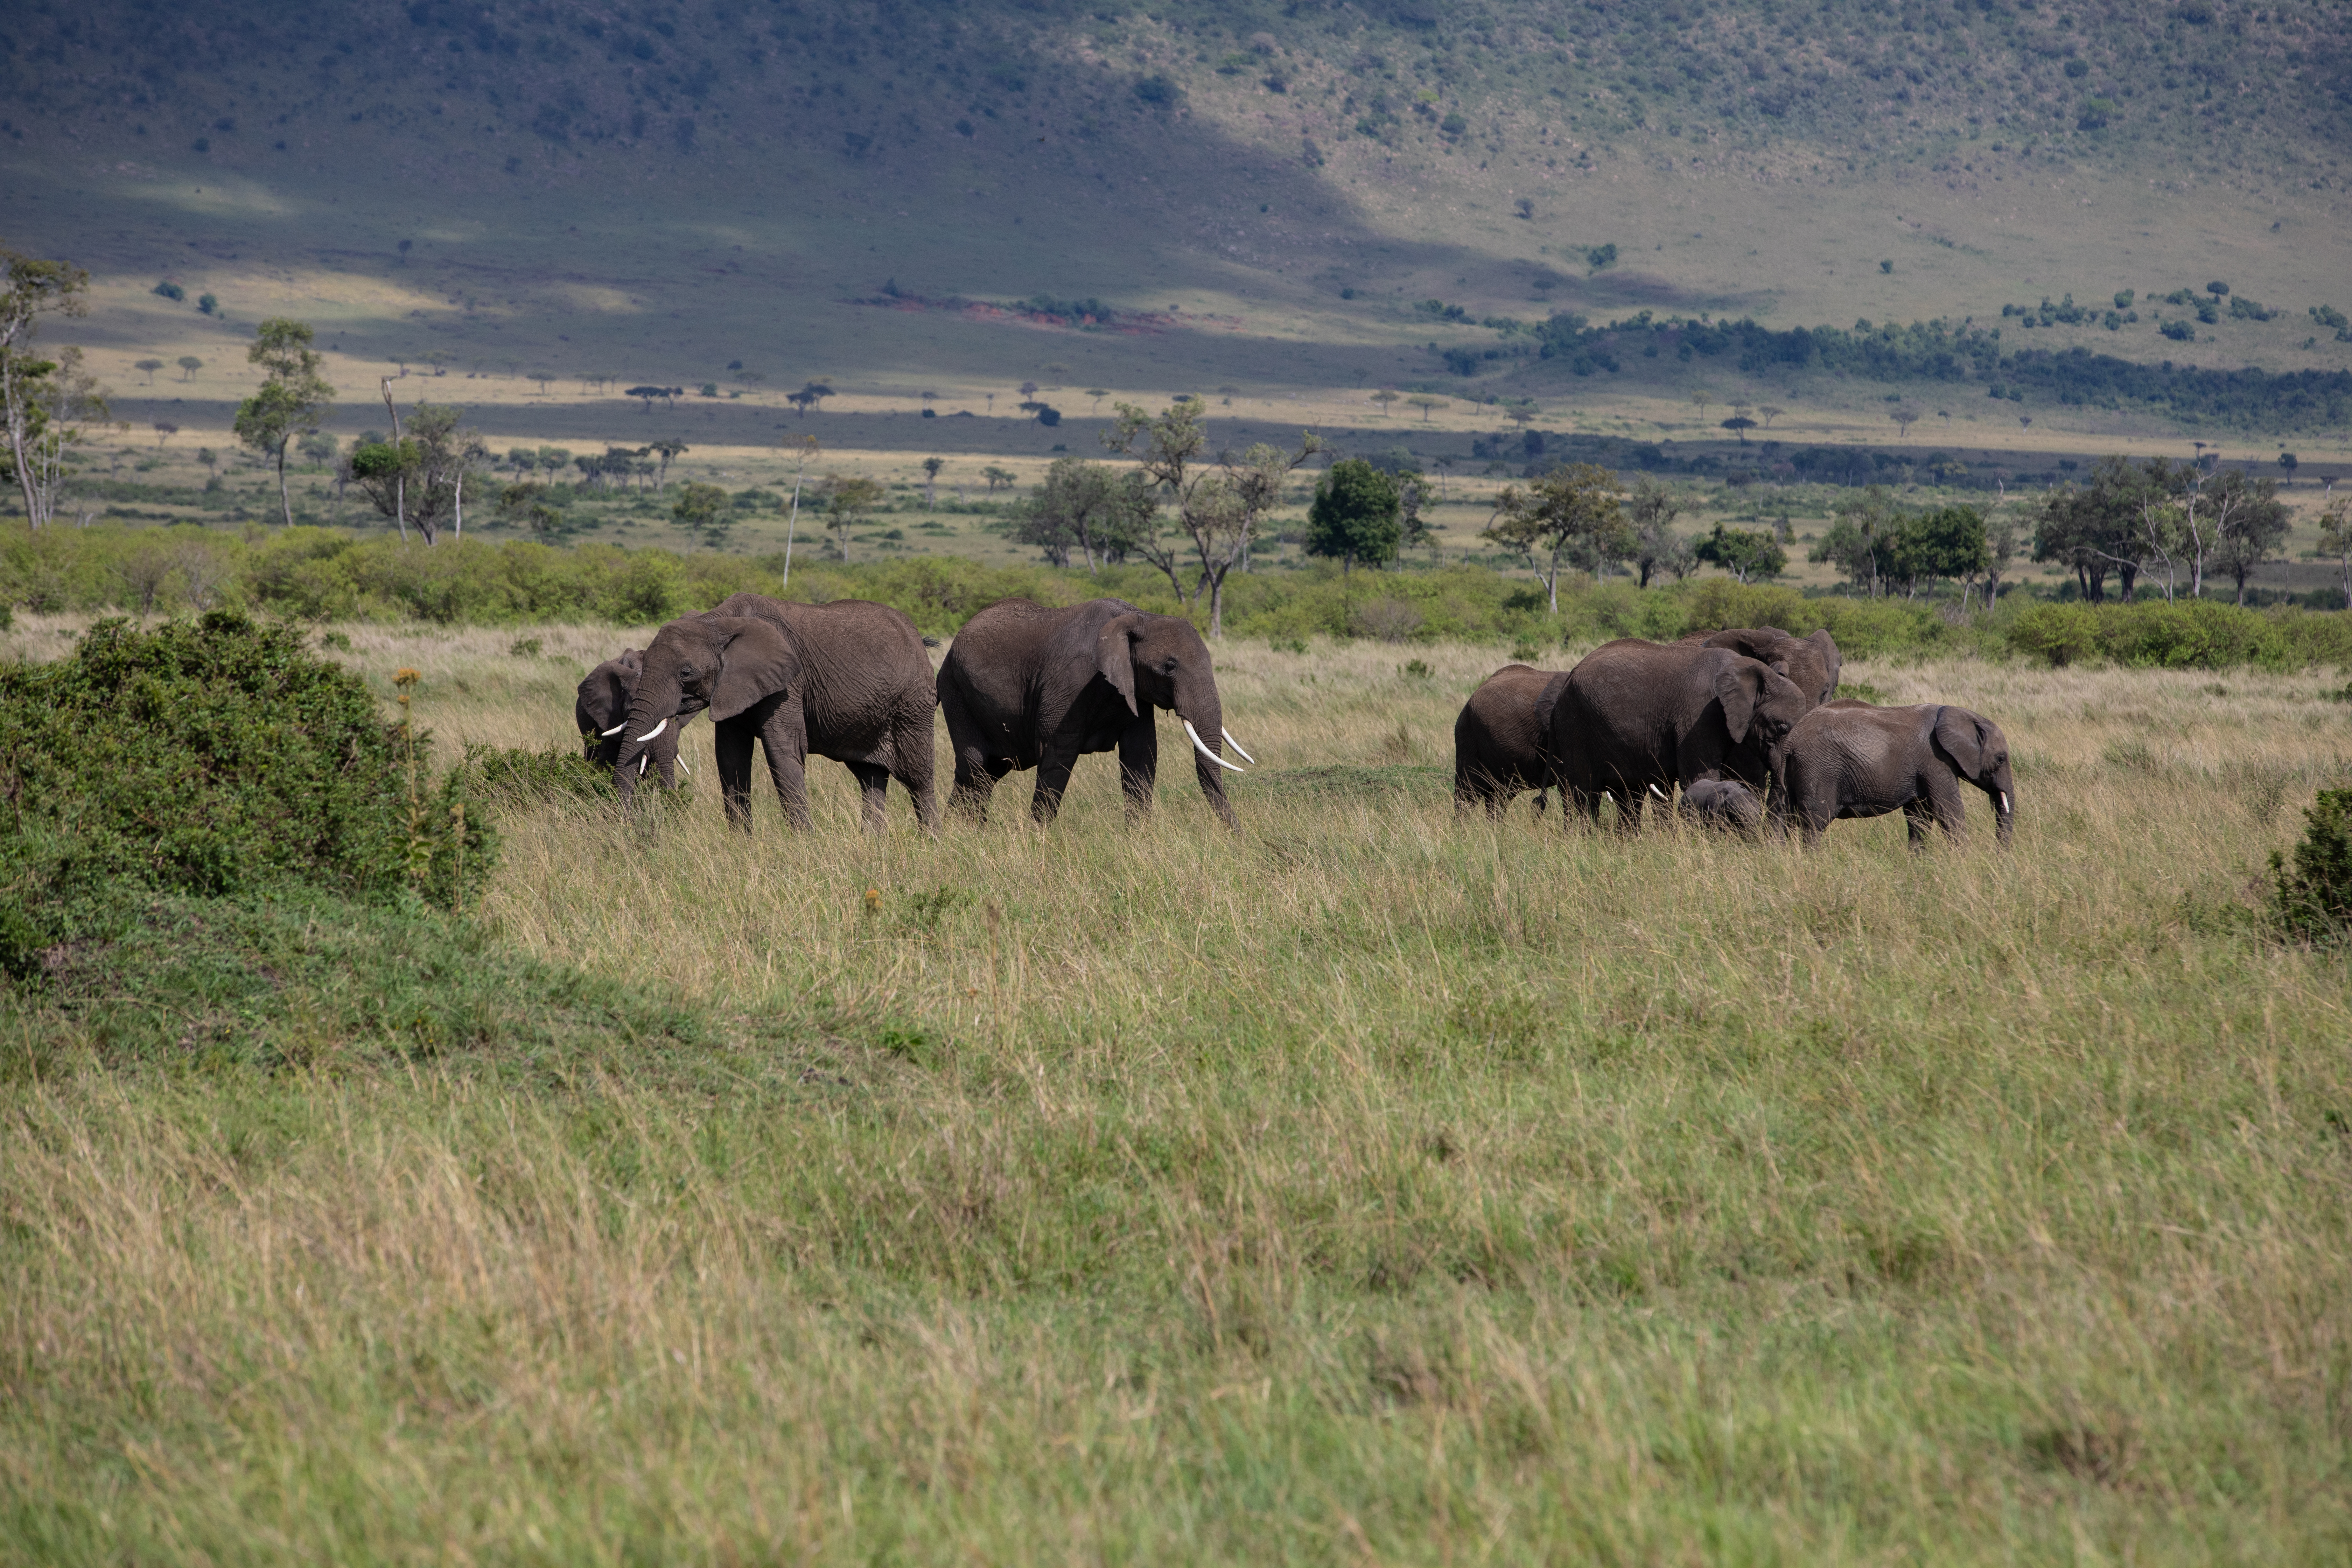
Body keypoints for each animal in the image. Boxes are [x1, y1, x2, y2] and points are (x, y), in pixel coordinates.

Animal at [611, 593, 938, 833]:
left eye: (686, 673)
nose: (627, 824)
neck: (717, 621)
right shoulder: (734, 687)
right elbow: (730, 756)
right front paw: (741, 844)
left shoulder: (788, 684)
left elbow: (782, 750)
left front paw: (805, 843)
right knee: (870, 777)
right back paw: (872, 842)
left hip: (914, 703)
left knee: (918, 777)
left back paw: (930, 842)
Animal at [936, 597, 1248, 827]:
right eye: (1169, 668)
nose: (1238, 836)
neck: (1140, 617)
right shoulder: (1069, 683)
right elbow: (1057, 754)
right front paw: (1039, 838)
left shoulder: (1132, 688)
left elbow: (1142, 755)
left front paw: (1140, 840)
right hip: (955, 690)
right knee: (975, 768)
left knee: (986, 772)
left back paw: (962, 832)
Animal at [1773, 701, 2015, 849]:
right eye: (2001, 759)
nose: (1999, 857)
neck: (1956, 713)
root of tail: (1791, 741)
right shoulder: (1936, 762)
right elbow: (1948, 811)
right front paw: (1963, 862)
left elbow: (1919, 817)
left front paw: (1919, 865)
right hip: (1818, 770)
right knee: (1815, 823)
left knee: (1787, 819)